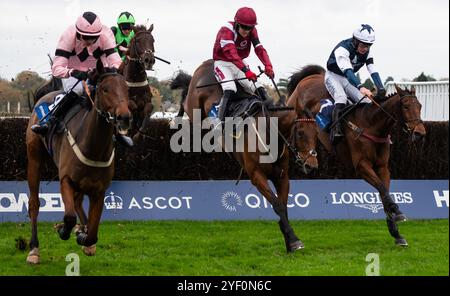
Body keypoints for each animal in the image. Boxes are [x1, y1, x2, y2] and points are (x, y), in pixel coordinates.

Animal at [24, 60, 131, 264]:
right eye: (105, 89)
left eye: (126, 88)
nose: (125, 117)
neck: (93, 146)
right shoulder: (66, 180)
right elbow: (69, 217)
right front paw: (63, 229)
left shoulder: (99, 190)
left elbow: (93, 232)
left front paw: (84, 237)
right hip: (34, 158)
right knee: (34, 204)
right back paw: (34, 249)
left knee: (78, 201)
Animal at [171, 58, 318, 252]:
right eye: (300, 133)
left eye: (316, 133)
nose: (312, 165)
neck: (269, 133)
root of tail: (207, 63)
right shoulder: (257, 175)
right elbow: (277, 205)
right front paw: (293, 240)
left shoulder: (282, 176)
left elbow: (284, 206)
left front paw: (289, 240)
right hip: (195, 107)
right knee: (186, 100)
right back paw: (177, 117)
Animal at [286, 65, 428, 247]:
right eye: (405, 106)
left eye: (420, 106)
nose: (420, 134)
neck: (371, 125)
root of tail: (310, 77)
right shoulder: (361, 166)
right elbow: (382, 188)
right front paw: (397, 212)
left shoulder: (382, 166)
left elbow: (384, 192)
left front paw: (396, 232)